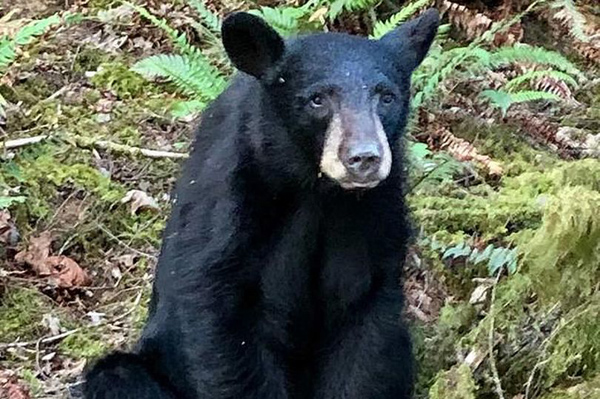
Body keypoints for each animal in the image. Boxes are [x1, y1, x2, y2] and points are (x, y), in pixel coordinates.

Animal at [84, 9, 438, 399]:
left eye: (386, 97)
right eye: (317, 99)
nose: (364, 158)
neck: (317, 191)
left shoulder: (375, 215)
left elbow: (363, 325)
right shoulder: (232, 203)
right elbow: (220, 323)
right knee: (118, 375)